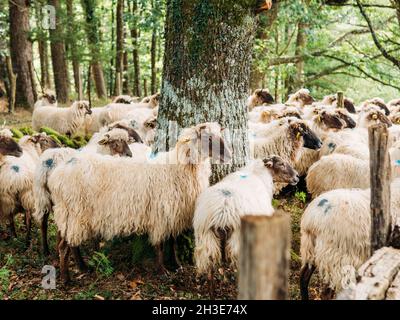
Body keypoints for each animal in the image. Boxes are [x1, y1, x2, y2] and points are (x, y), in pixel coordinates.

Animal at [48, 122, 231, 282]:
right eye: (208, 138)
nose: (229, 156)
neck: (179, 168)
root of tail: (57, 175)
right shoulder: (160, 214)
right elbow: (159, 244)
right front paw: (162, 271)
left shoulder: (172, 213)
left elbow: (172, 241)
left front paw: (176, 265)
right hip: (74, 213)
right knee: (65, 246)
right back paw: (67, 278)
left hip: (70, 215)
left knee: (70, 243)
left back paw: (82, 267)